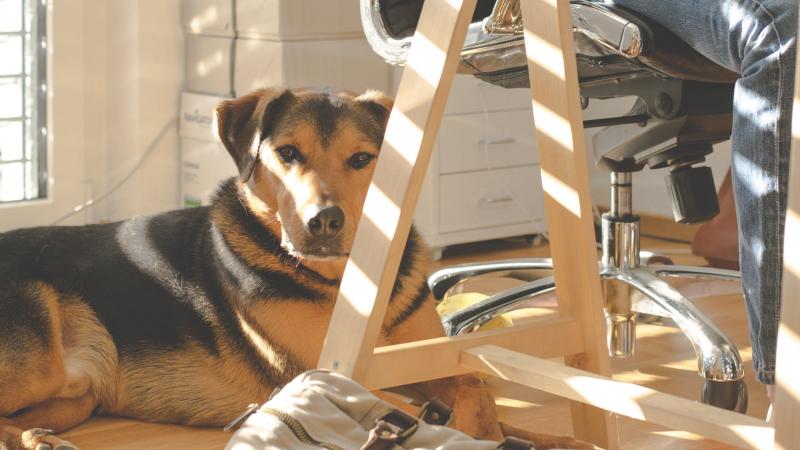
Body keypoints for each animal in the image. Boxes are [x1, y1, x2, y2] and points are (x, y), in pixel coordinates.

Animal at [0, 89, 588, 450]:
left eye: (362, 159)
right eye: (287, 153)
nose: (323, 221)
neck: (347, 281)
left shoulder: (423, 357)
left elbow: (476, 384)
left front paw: (543, 436)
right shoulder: (324, 375)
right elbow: (458, 397)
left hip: (75, 395)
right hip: (38, 364)